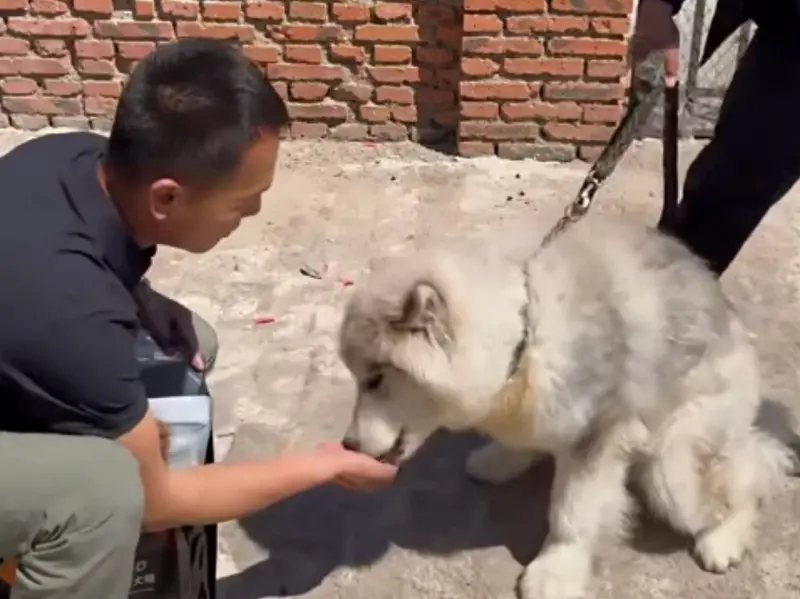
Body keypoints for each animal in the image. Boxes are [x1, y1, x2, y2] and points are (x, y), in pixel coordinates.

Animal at [336, 214, 792, 599]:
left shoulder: (598, 437)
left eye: (375, 380)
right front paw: (500, 459)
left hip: (675, 459)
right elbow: (518, 441)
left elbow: (572, 514)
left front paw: (555, 571)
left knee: (749, 476)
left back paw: (724, 537)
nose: (348, 446)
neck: (527, 335)